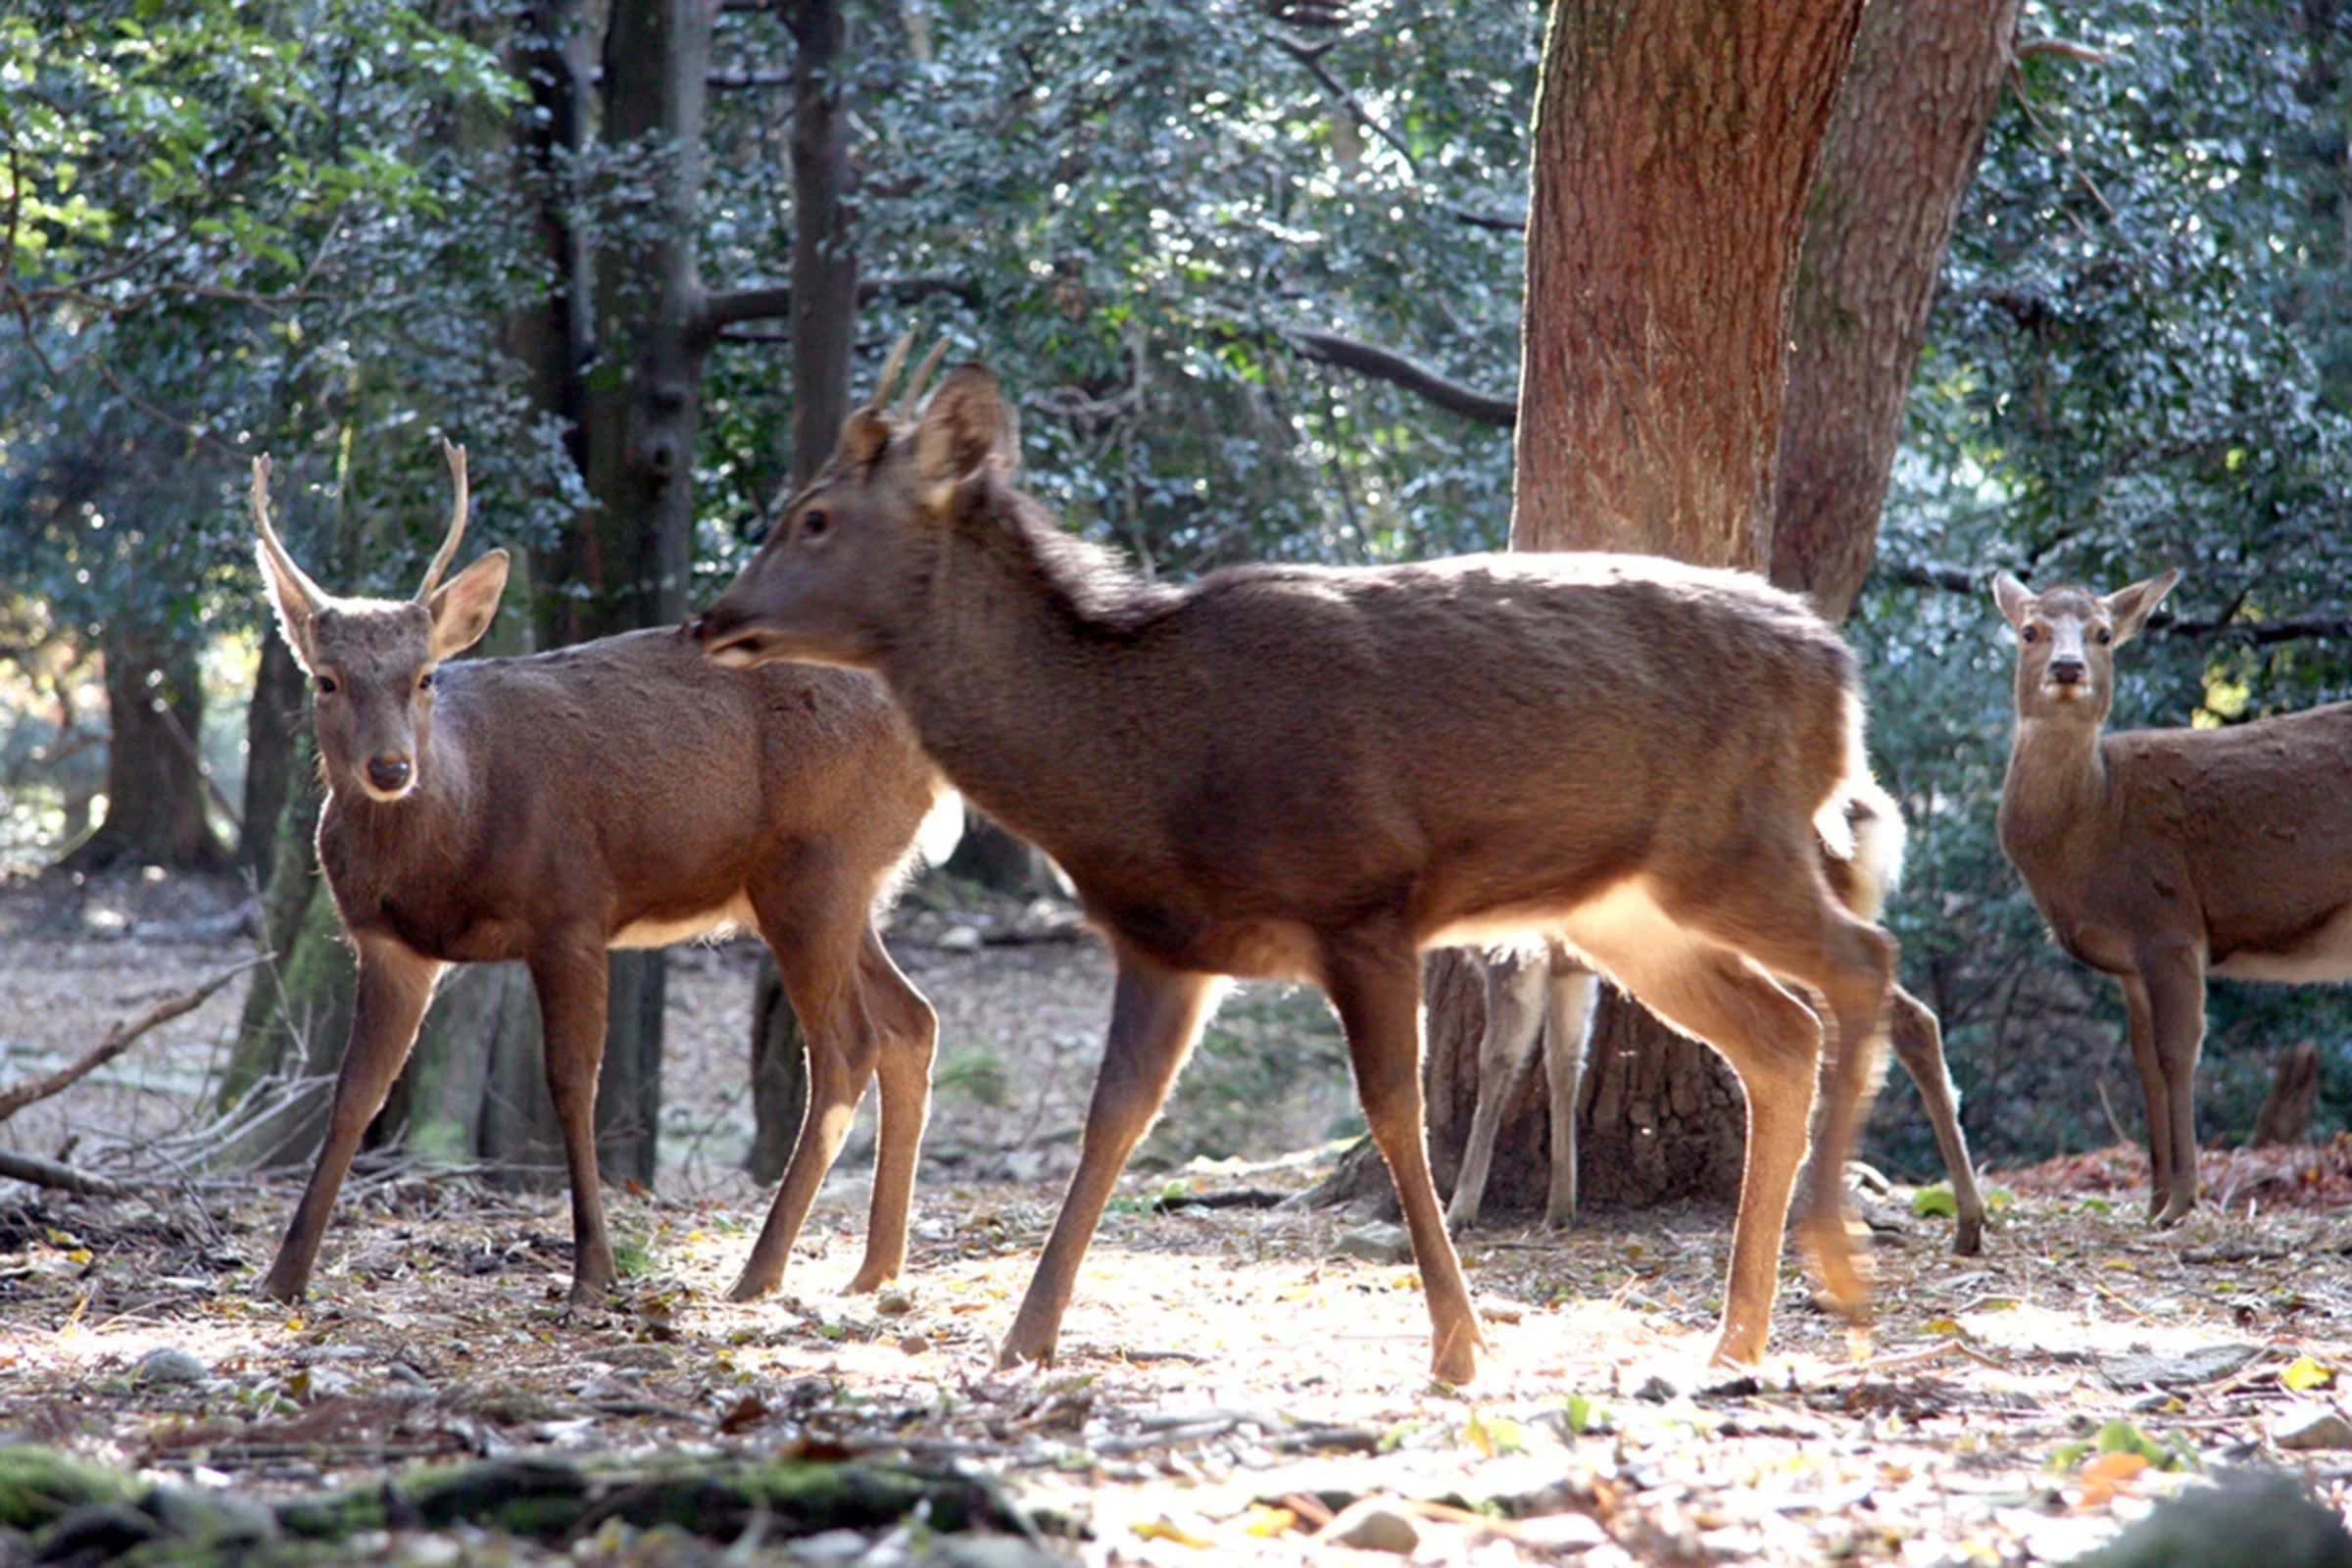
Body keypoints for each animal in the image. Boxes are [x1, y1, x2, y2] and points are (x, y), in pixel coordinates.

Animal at [245, 444, 955, 1316]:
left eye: (425, 677)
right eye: (327, 680)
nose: (389, 768)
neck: (458, 833)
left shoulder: (571, 909)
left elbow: (571, 1086)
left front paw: (593, 1270)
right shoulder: (388, 944)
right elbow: (353, 1095)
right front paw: (284, 1275)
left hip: (816, 865)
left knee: (848, 1046)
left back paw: (759, 1270)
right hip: (840, 886)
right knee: (912, 1021)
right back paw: (875, 1267)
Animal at [686, 345, 1900, 1382]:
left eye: (814, 517)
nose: (711, 618)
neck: (1134, 775)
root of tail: (1840, 674)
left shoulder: (1363, 902)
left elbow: (1395, 1110)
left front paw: (1459, 1341)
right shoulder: (1166, 945)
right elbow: (1113, 1117)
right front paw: (1025, 1336)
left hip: (1730, 843)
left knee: (1864, 962)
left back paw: (1835, 1268)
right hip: (1630, 910)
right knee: (1780, 1035)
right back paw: (1738, 1333)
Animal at [1994, 570, 2352, 1231]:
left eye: (2102, 634)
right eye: (2029, 630)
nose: (2066, 667)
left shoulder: (2168, 923)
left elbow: (2177, 1053)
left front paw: (2181, 1203)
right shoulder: (2129, 959)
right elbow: (2142, 1063)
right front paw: (2154, 1199)